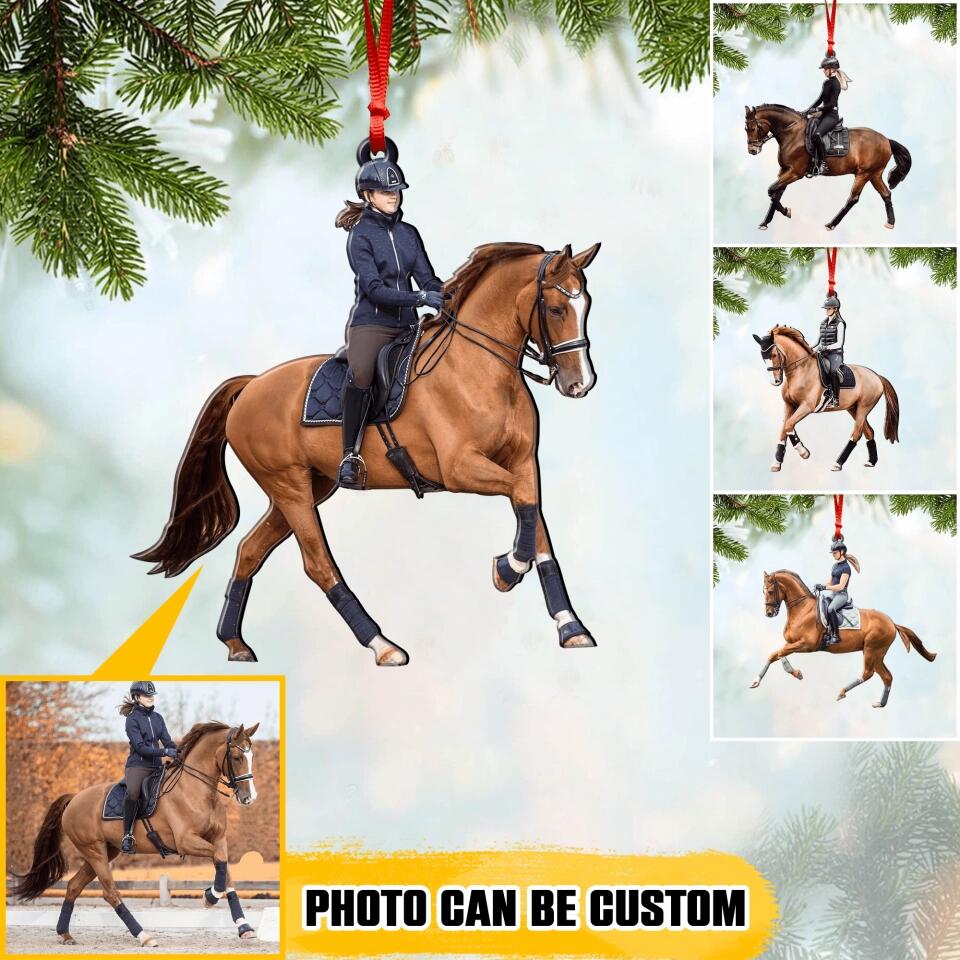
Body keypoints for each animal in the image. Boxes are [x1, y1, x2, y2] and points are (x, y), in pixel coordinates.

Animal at [9, 722, 261, 947]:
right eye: (236, 758)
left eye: (251, 757)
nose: (249, 798)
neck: (197, 791)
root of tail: (74, 799)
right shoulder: (186, 841)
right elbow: (219, 862)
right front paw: (210, 897)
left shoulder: (218, 839)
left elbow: (224, 868)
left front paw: (244, 926)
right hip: (94, 851)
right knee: (110, 893)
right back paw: (144, 936)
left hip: (104, 852)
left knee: (73, 886)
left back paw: (65, 934)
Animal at [134, 242, 601, 665]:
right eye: (555, 309)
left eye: (586, 305)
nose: (581, 384)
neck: (480, 370)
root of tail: (250, 386)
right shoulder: (459, 469)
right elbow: (523, 506)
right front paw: (506, 570)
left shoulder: (523, 464)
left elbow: (533, 517)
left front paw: (569, 625)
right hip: (289, 487)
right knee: (318, 565)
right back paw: (383, 645)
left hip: (309, 486)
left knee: (250, 550)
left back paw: (235, 643)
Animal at [744, 104, 912, 231]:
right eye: (746, 128)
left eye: (754, 128)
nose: (752, 150)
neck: (792, 133)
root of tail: (886, 141)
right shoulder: (784, 171)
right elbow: (776, 194)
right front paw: (766, 222)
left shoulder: (795, 173)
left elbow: (771, 191)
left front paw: (786, 211)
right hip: (874, 174)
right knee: (886, 194)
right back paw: (890, 223)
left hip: (864, 174)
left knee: (853, 198)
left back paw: (831, 224)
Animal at [749, 570, 935, 707]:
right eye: (763, 591)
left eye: (770, 591)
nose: (769, 613)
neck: (802, 609)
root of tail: (891, 622)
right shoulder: (791, 643)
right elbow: (777, 655)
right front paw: (792, 673)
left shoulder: (806, 645)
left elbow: (776, 654)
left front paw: (758, 680)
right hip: (876, 654)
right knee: (887, 676)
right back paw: (880, 704)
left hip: (872, 650)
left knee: (868, 673)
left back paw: (842, 692)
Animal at [751, 326, 899, 472]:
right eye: (763, 357)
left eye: (774, 355)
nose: (775, 381)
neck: (801, 370)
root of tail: (876, 376)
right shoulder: (789, 405)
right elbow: (784, 428)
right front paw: (777, 463)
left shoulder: (806, 406)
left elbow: (788, 425)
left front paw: (803, 452)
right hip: (854, 409)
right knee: (869, 431)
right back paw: (871, 462)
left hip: (863, 408)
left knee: (857, 434)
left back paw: (838, 463)